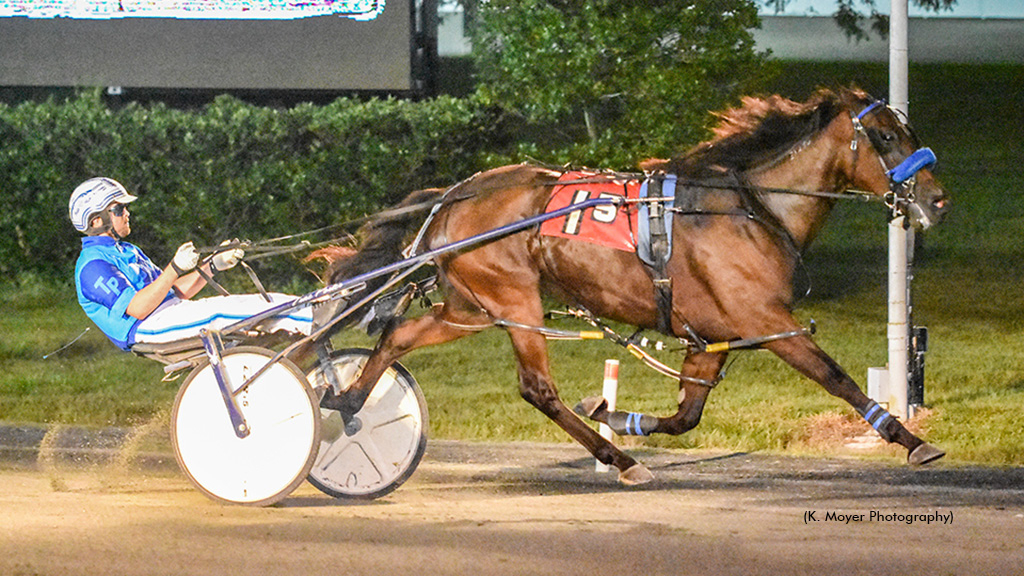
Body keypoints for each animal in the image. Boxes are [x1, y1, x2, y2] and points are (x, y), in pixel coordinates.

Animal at [315, 85, 946, 481]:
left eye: (907, 128)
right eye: (884, 135)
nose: (938, 198)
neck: (751, 207)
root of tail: (451, 197)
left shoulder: (710, 335)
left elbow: (688, 413)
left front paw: (619, 415)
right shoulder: (766, 320)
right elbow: (837, 377)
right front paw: (912, 441)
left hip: (472, 306)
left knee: (398, 334)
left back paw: (347, 400)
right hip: (515, 297)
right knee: (537, 388)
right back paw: (619, 462)